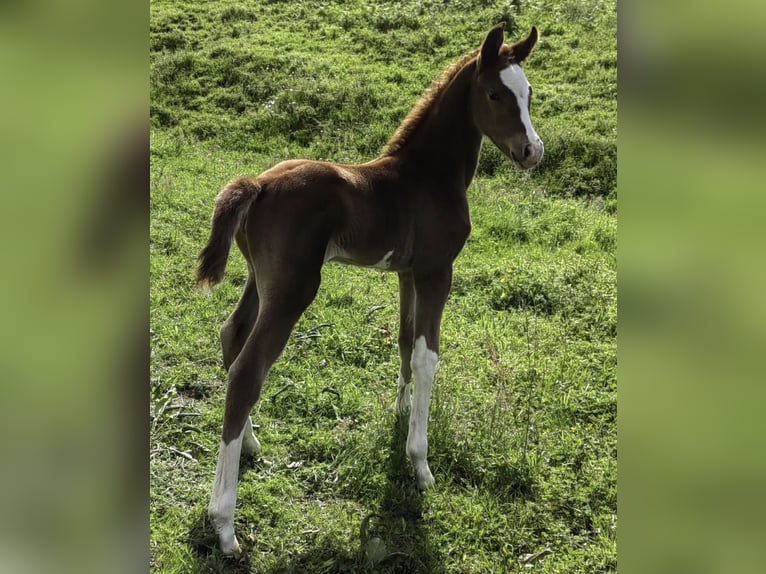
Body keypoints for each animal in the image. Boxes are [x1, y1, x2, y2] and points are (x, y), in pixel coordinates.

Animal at [197, 22, 543, 555]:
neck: (427, 175)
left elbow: (402, 341)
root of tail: (257, 183)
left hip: (260, 279)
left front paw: (401, 414)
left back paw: (251, 444)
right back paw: (225, 524)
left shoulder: (406, 272)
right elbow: (427, 356)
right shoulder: (437, 271)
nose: (533, 152)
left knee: (231, 337)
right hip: (294, 289)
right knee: (248, 371)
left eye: (528, 94)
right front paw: (420, 464)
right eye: (493, 94)